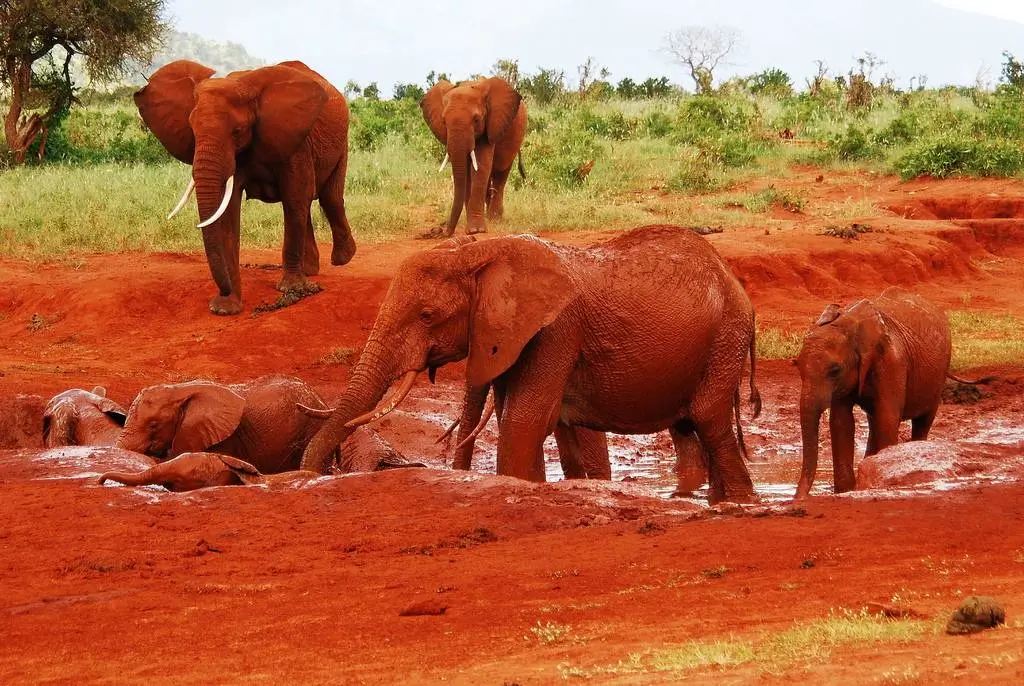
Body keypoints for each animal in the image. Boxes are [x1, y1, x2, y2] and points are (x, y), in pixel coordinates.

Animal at [134, 59, 355, 315]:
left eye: (237, 131)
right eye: (192, 130)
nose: (224, 290)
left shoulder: (295, 142)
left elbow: (294, 198)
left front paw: (290, 289)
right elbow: (228, 212)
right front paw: (225, 309)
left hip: (341, 142)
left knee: (328, 197)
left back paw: (342, 258)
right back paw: (310, 270)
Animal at [301, 224, 761, 504]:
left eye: (428, 315)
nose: (308, 476)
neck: (482, 252)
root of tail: (731, 277)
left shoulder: (556, 329)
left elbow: (525, 419)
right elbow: (532, 419)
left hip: (727, 335)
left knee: (708, 418)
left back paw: (741, 503)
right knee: (688, 426)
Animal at [420, 77, 527, 237]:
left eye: (476, 119)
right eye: (444, 121)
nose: (442, 231)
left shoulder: (489, 125)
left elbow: (481, 167)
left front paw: (476, 230)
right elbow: (466, 171)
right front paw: (472, 228)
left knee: (501, 172)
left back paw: (494, 218)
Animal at [794, 287, 984, 499]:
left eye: (835, 370)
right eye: (796, 366)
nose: (797, 499)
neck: (850, 321)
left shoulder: (892, 361)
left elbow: (887, 418)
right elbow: (841, 423)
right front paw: (846, 491)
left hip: (939, 374)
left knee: (922, 420)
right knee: (874, 420)